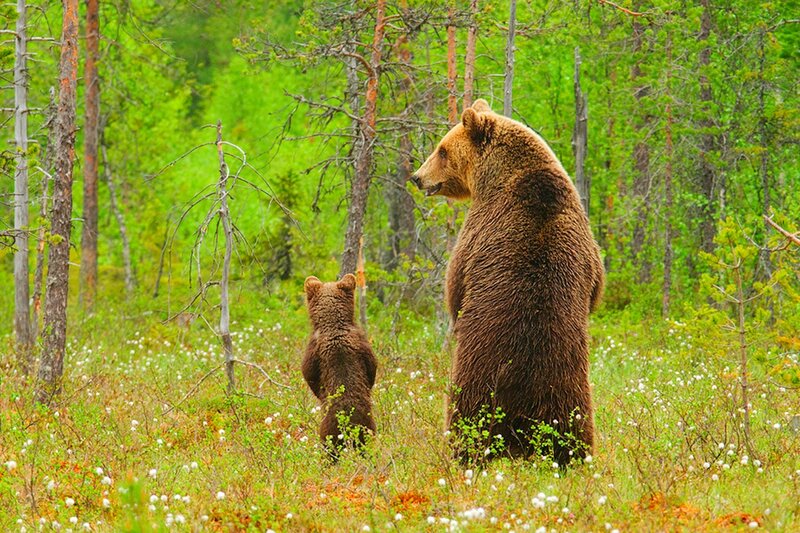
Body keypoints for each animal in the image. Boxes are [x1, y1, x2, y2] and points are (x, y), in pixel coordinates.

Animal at [302, 274, 378, 459]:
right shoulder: (363, 345)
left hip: (328, 430)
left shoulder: (313, 351)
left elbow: (309, 374)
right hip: (367, 429)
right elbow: (372, 366)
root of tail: (349, 425)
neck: (333, 325)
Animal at [411, 99, 604, 465]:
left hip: (477, 376)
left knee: (467, 415)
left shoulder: (479, 229)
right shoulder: (586, 242)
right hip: (569, 385)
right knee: (574, 424)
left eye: (442, 150)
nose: (416, 177)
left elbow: (455, 284)